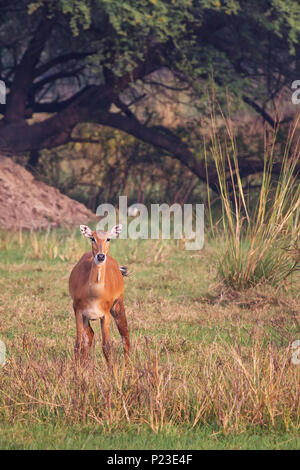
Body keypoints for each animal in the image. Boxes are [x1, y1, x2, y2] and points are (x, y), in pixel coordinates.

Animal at [69, 224, 130, 364]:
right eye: (92, 238)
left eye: (108, 238)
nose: (101, 256)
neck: (94, 296)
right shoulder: (78, 311)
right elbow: (78, 343)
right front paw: (75, 368)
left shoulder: (105, 315)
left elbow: (106, 346)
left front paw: (113, 369)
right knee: (89, 336)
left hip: (118, 303)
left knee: (125, 333)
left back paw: (128, 365)